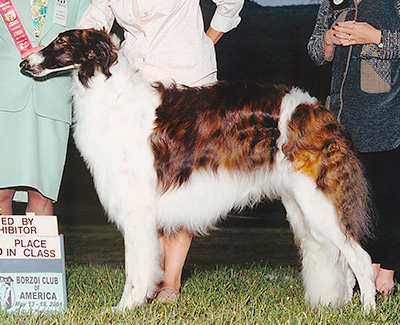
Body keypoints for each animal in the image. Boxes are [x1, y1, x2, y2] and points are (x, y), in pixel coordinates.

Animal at [19, 29, 376, 310]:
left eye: (61, 41)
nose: (24, 63)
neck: (112, 95)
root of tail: (318, 110)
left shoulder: (136, 210)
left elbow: (135, 270)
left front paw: (124, 308)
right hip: (304, 207)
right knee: (344, 263)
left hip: (317, 202)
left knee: (361, 259)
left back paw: (367, 310)